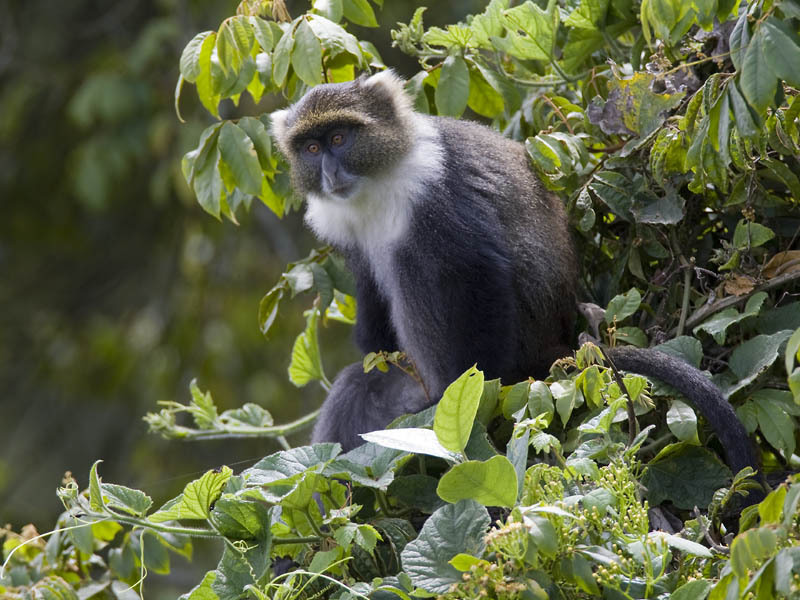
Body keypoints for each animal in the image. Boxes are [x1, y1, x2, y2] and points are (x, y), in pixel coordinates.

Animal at [268, 69, 756, 474]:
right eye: (311, 148)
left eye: (340, 137)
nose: (330, 173)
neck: (380, 179)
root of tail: (553, 344)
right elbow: (374, 329)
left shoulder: (436, 194)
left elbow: (477, 272)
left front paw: (473, 405)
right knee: (359, 380)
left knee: (419, 270)